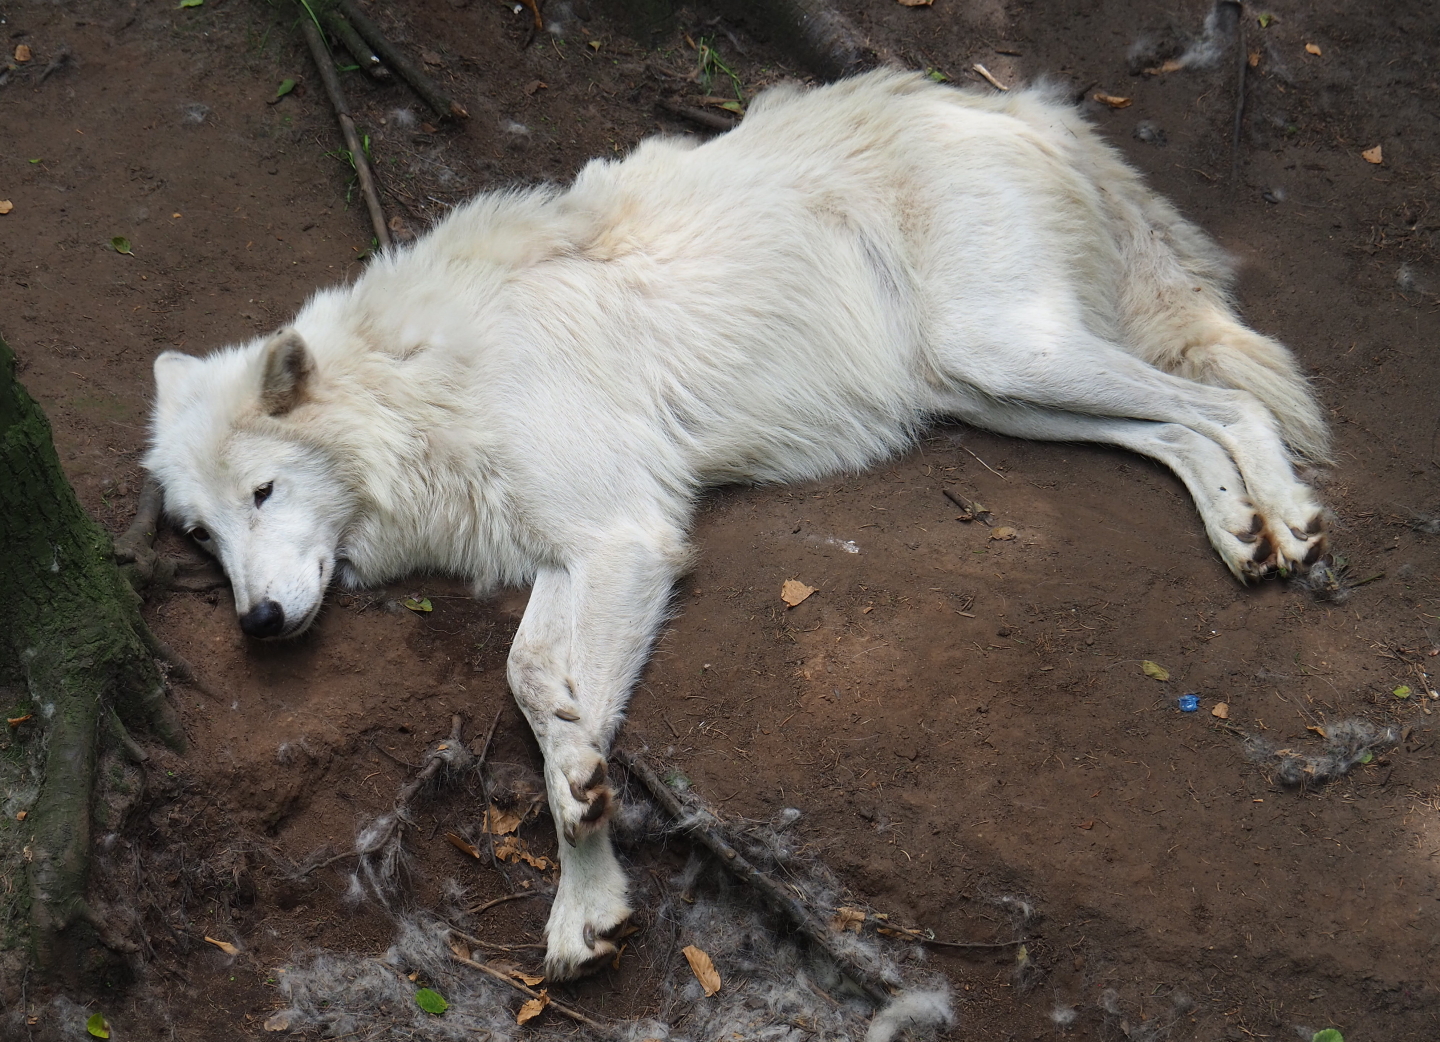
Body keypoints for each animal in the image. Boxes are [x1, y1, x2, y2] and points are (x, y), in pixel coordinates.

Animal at [145, 70, 1329, 979]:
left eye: (262, 494)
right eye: (201, 534)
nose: (254, 624)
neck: (421, 382)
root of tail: (1014, 103)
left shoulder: (625, 536)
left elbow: (548, 707)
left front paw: (582, 858)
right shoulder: (571, 548)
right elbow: (532, 678)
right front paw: (586, 863)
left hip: (1011, 355)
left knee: (1233, 405)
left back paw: (1290, 520)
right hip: (993, 390)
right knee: (1174, 432)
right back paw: (1241, 531)